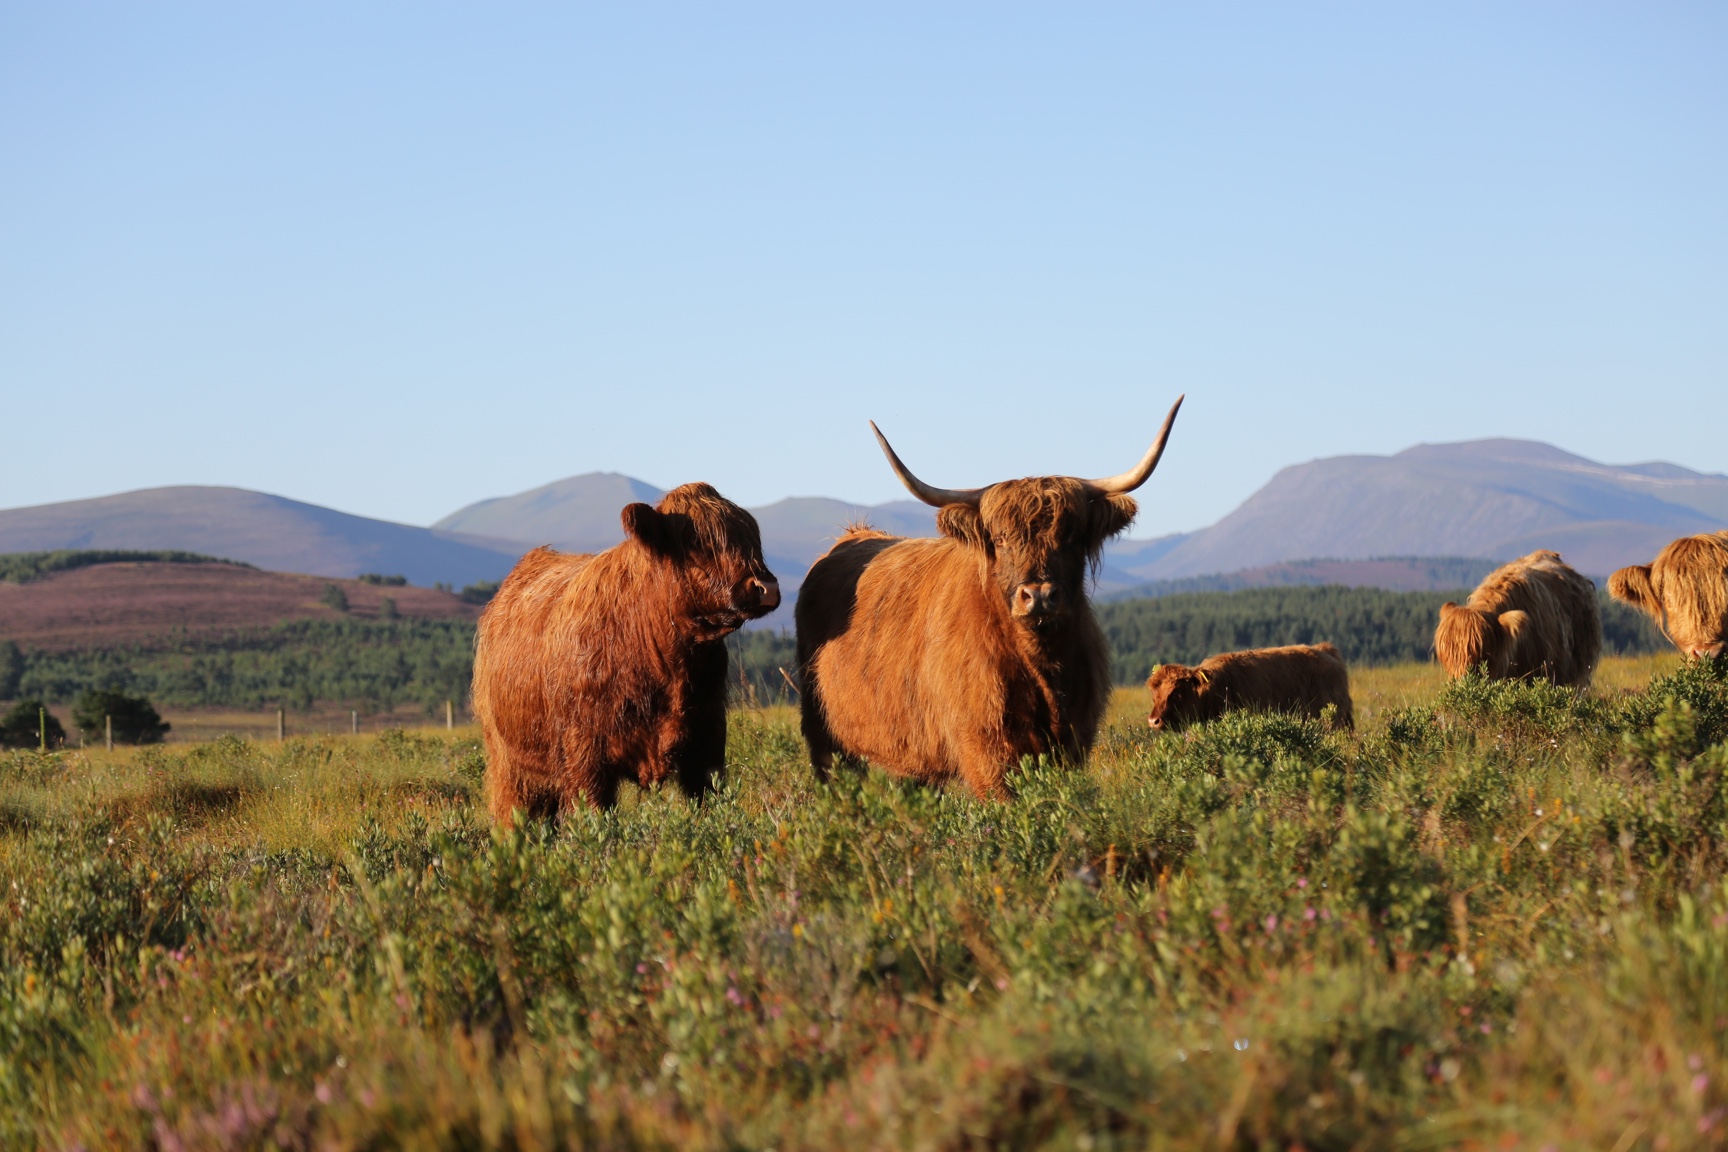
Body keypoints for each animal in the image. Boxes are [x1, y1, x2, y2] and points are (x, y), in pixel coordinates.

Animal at [471, 483, 779, 825]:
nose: (765, 587)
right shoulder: (584, 754)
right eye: (696, 540)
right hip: (509, 764)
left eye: (752, 537)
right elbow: (595, 817)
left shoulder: (707, 739)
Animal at [794, 396, 1183, 800]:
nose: (1038, 596)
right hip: (825, 736)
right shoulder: (986, 748)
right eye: (1000, 539)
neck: (1044, 664)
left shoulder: (1076, 740)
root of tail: (850, 537)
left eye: (1072, 536)